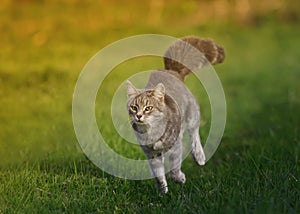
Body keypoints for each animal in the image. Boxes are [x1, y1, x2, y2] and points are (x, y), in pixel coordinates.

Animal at [125, 35, 224, 194]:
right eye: (134, 107)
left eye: (148, 108)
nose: (139, 115)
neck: (152, 132)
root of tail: (172, 71)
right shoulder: (150, 154)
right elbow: (158, 173)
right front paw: (163, 190)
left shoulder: (176, 145)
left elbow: (173, 167)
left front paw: (178, 178)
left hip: (192, 114)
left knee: (194, 134)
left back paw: (199, 156)